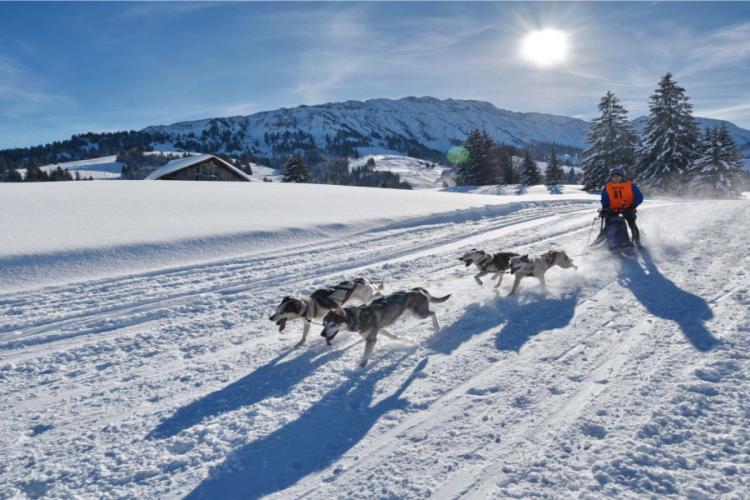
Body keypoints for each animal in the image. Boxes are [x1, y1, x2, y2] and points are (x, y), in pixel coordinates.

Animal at [318, 290, 450, 368]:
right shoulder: (379, 329)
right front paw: (406, 340)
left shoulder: (371, 339)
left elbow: (365, 355)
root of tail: (415, 289)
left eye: (332, 324)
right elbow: (393, 336)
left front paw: (361, 366)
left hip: (418, 313)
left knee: (433, 313)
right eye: (324, 324)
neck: (360, 317)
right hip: (411, 312)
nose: (322, 334)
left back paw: (437, 327)